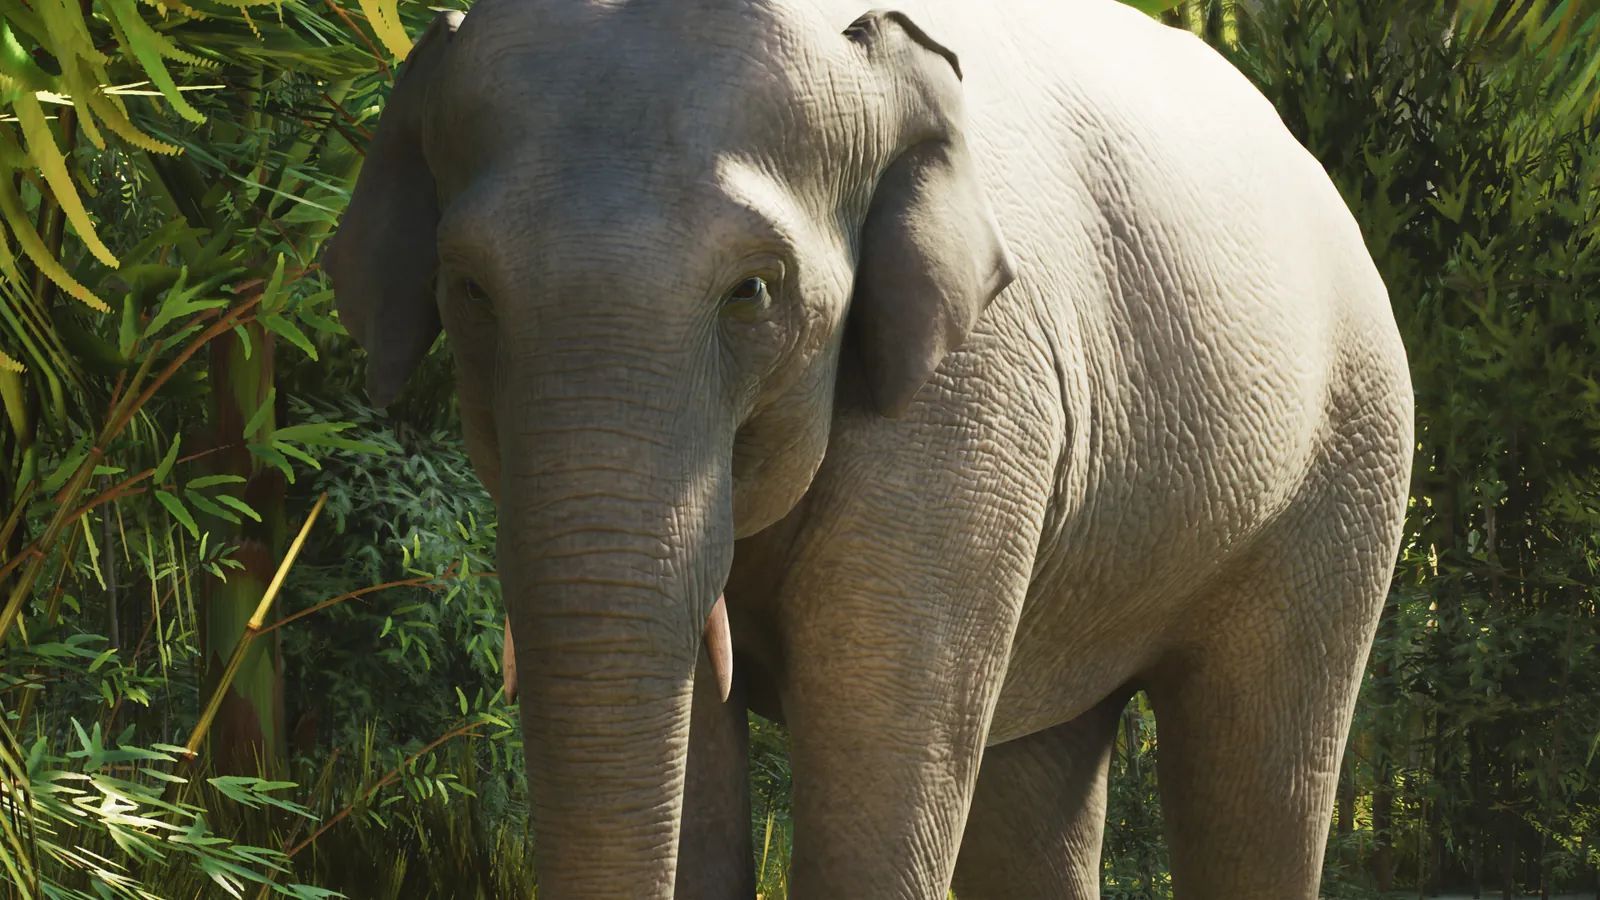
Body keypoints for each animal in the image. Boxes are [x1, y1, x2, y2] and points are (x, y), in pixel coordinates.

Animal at [323, 0, 1414, 897]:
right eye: (469, 289)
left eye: (752, 290)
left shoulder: (969, 406)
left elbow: (878, 748)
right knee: (1035, 790)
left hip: (1344, 471)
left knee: (1262, 777)